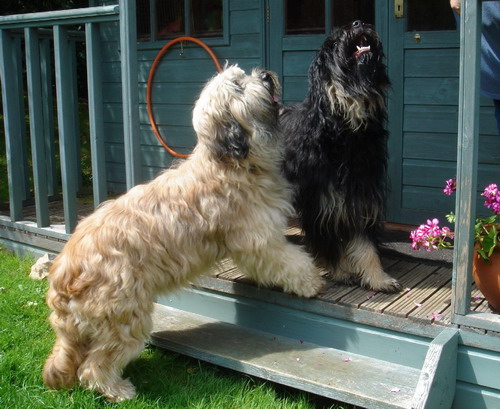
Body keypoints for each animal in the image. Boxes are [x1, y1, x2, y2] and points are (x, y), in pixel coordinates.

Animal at [43, 65, 324, 400]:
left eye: (243, 75)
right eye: (238, 86)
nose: (266, 75)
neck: (231, 163)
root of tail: (61, 273)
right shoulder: (259, 238)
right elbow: (288, 261)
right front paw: (310, 282)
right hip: (124, 316)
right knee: (94, 365)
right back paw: (118, 390)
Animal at [282, 20, 402, 292]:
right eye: (335, 41)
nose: (359, 22)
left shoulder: (361, 193)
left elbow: (366, 244)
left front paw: (378, 277)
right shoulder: (320, 199)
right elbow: (327, 240)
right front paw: (339, 270)